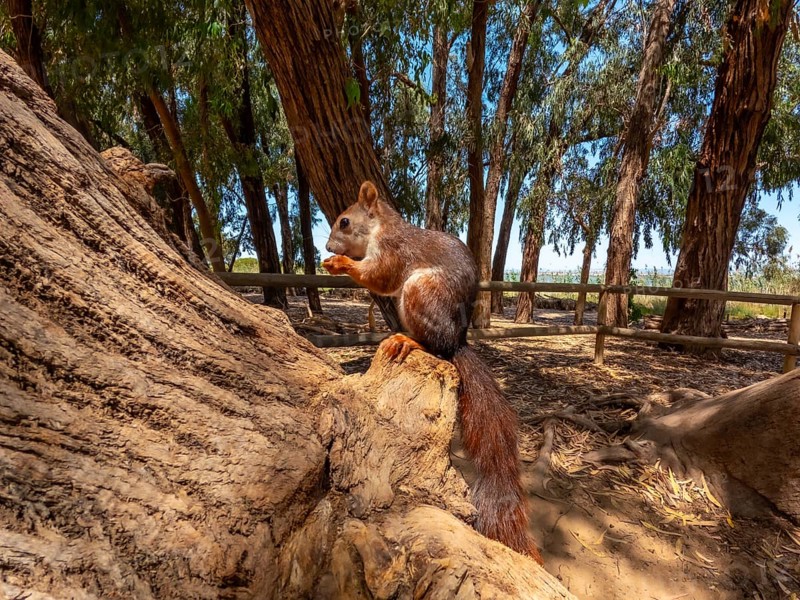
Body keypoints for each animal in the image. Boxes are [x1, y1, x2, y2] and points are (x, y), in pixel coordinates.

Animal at [323, 180, 543, 564]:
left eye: (345, 222)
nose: (326, 247)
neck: (381, 229)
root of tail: (458, 341)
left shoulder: (394, 252)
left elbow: (378, 275)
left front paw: (341, 263)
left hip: (422, 291)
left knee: (436, 347)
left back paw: (410, 342)